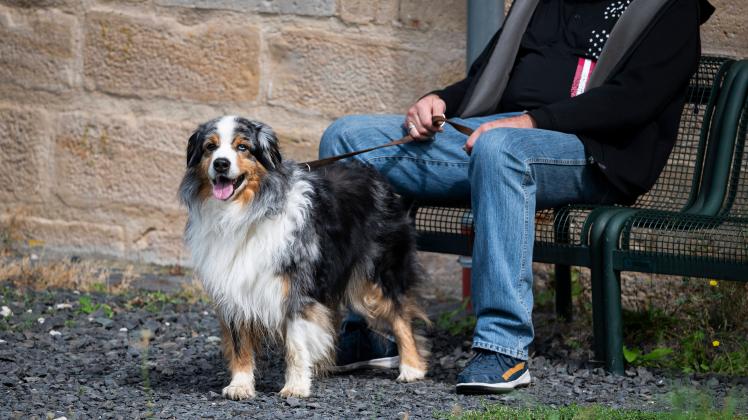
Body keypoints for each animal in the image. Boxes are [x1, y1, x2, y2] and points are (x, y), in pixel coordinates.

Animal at [176, 116, 430, 398]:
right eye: (210, 147)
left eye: (242, 147)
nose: (221, 163)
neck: (243, 213)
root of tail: (376, 175)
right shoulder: (232, 286)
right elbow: (240, 342)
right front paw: (240, 384)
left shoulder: (296, 286)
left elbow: (296, 341)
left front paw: (296, 385)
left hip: (376, 276)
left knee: (401, 314)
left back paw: (411, 367)